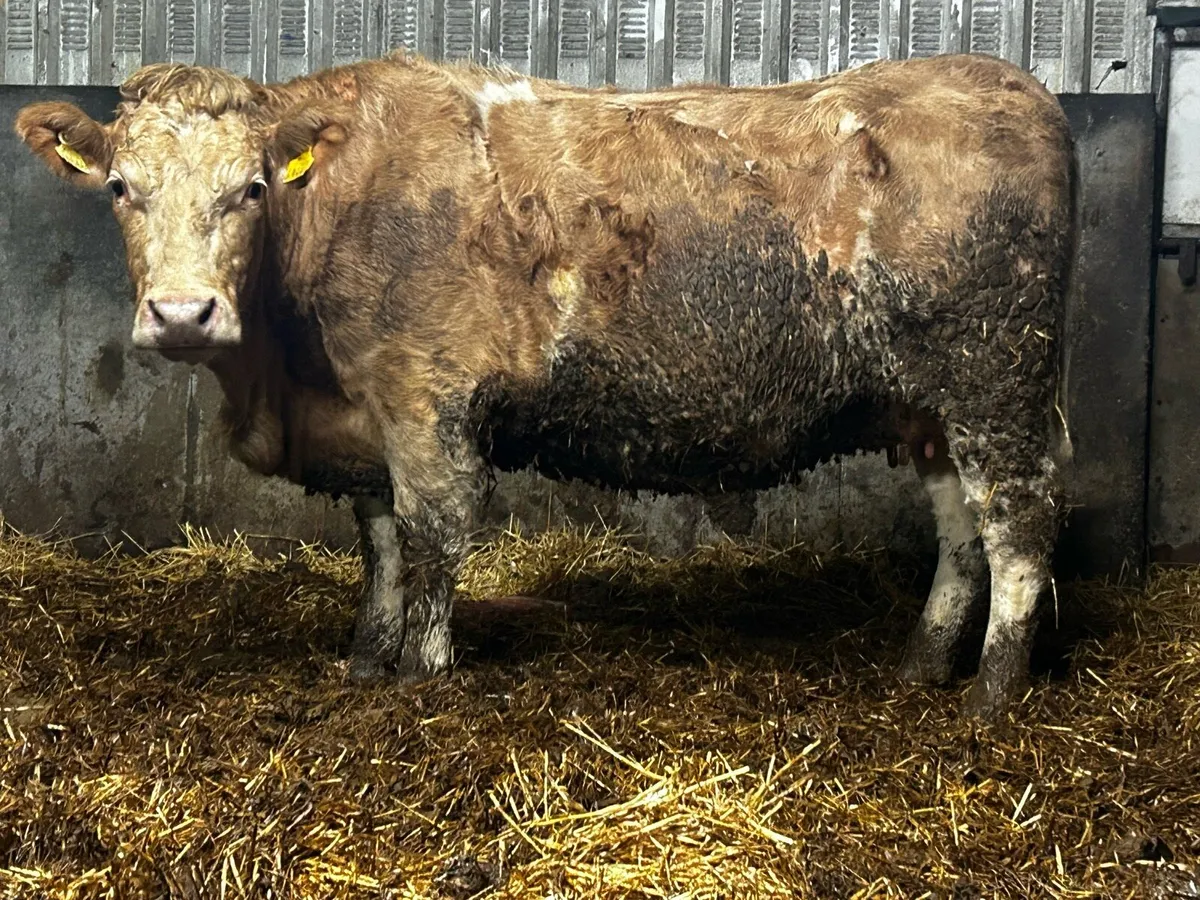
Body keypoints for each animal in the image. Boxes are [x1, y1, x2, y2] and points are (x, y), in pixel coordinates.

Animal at [15, 50, 1076, 719]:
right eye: (122, 189)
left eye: (251, 188)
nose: (183, 314)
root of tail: (1004, 79)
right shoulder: (364, 415)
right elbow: (381, 542)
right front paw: (364, 661)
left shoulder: (428, 399)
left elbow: (434, 537)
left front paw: (422, 678)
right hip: (931, 408)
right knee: (961, 529)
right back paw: (922, 667)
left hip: (997, 385)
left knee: (1018, 523)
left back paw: (993, 694)